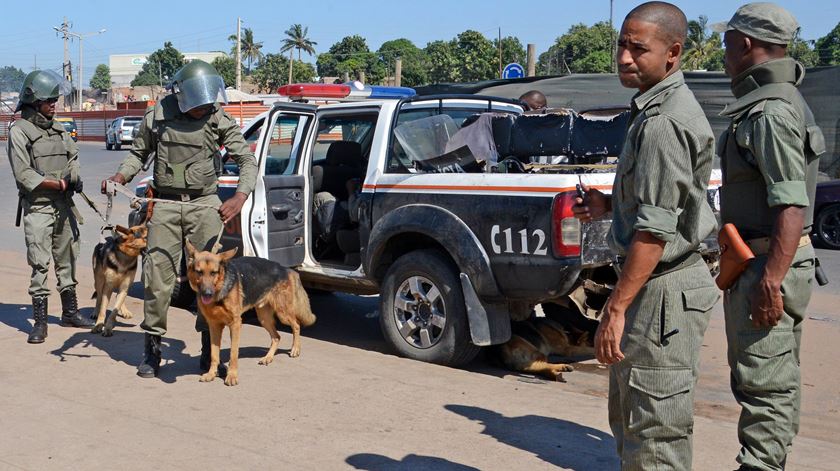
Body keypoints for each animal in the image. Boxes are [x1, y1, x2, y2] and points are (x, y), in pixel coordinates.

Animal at [185, 240, 316, 388]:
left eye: (214, 273)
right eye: (199, 272)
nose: (207, 293)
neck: (219, 292)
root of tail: (286, 269)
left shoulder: (235, 324)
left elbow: (233, 353)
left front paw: (232, 376)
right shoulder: (214, 326)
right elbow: (214, 354)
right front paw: (211, 374)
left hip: (283, 313)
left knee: (296, 324)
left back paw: (295, 349)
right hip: (264, 318)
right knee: (276, 336)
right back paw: (268, 357)